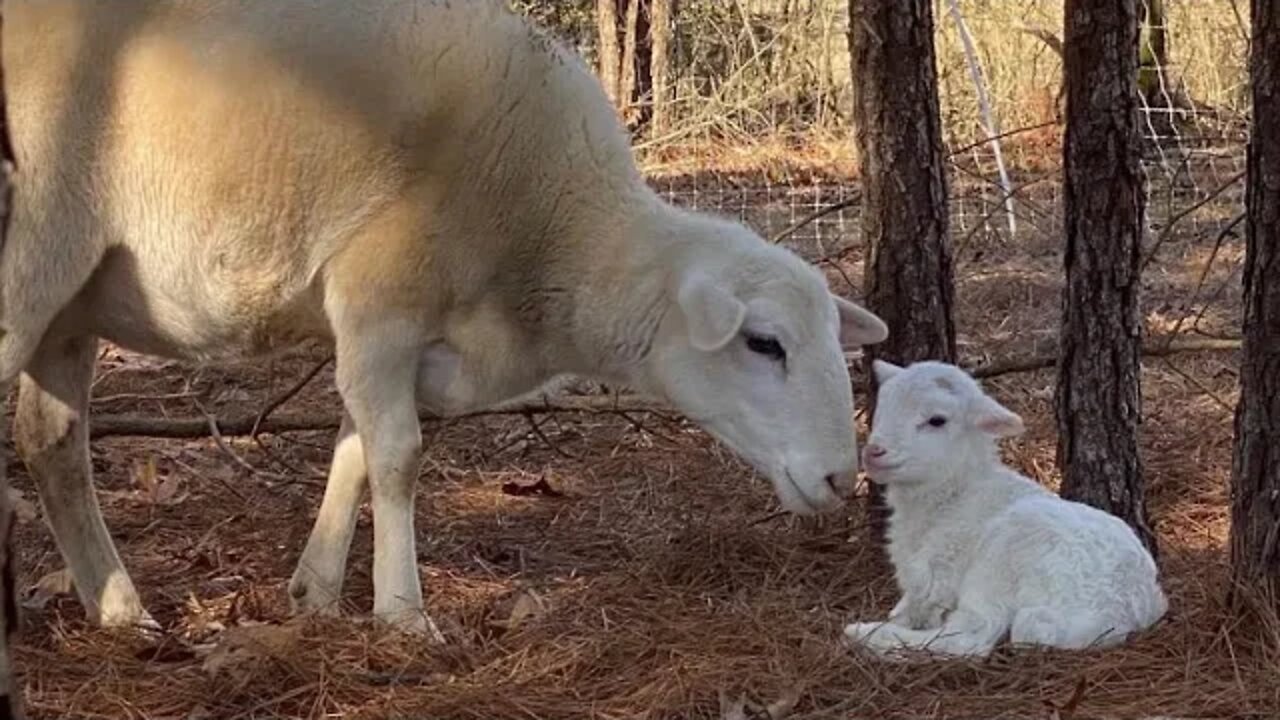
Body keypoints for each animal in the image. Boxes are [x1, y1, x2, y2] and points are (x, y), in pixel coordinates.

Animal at [0, 0, 890, 632]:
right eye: (764, 343)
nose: (841, 479)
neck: (556, 232)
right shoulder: (378, 296)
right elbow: (398, 458)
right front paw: (404, 615)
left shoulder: (399, 345)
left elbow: (356, 451)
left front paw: (315, 594)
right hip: (37, 243)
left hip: (72, 301)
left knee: (51, 440)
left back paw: (120, 611)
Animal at [844, 358, 1167, 655]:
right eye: (882, 407)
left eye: (937, 420)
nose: (873, 452)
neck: (955, 494)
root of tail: (1125, 610)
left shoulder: (941, 575)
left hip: (1004, 556)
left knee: (972, 636)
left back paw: (866, 633)